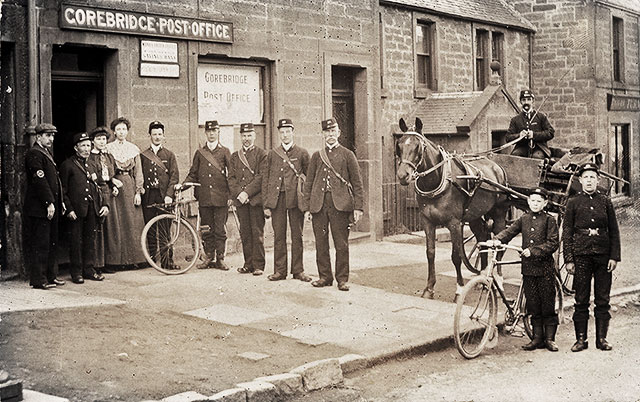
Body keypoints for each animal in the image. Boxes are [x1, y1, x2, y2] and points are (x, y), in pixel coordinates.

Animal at [396, 116, 510, 298]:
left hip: (499, 213)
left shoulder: (454, 223)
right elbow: (430, 253)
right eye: (399, 145)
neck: (438, 180)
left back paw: (498, 280)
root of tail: (497, 166)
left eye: (418, 146)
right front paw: (429, 288)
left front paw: (460, 288)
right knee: (482, 237)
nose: (402, 176)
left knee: (498, 244)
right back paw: (484, 277)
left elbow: (456, 256)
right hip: (474, 215)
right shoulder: (427, 221)